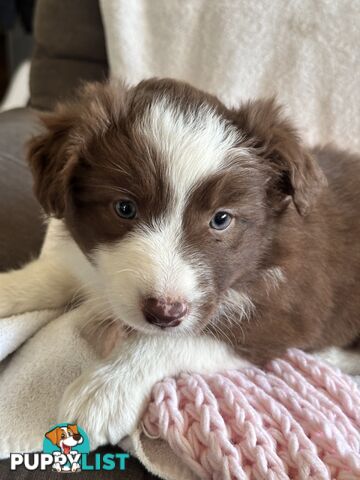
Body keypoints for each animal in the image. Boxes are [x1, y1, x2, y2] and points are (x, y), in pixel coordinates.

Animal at [0, 77, 360, 448]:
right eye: (125, 208)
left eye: (221, 219)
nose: (165, 313)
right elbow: (56, 274)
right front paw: (9, 289)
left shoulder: (280, 315)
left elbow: (171, 341)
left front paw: (106, 390)